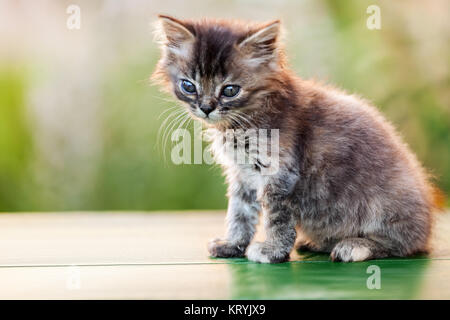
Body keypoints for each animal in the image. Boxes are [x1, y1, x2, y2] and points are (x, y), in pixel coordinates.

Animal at [153, 15, 442, 262]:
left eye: (230, 90)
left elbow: (276, 218)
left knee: (403, 244)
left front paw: (272, 251)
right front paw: (233, 245)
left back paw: (354, 245)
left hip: (387, 205)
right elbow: (239, 213)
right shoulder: (243, 175)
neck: (241, 123)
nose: (206, 107)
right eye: (188, 86)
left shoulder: (279, 173)